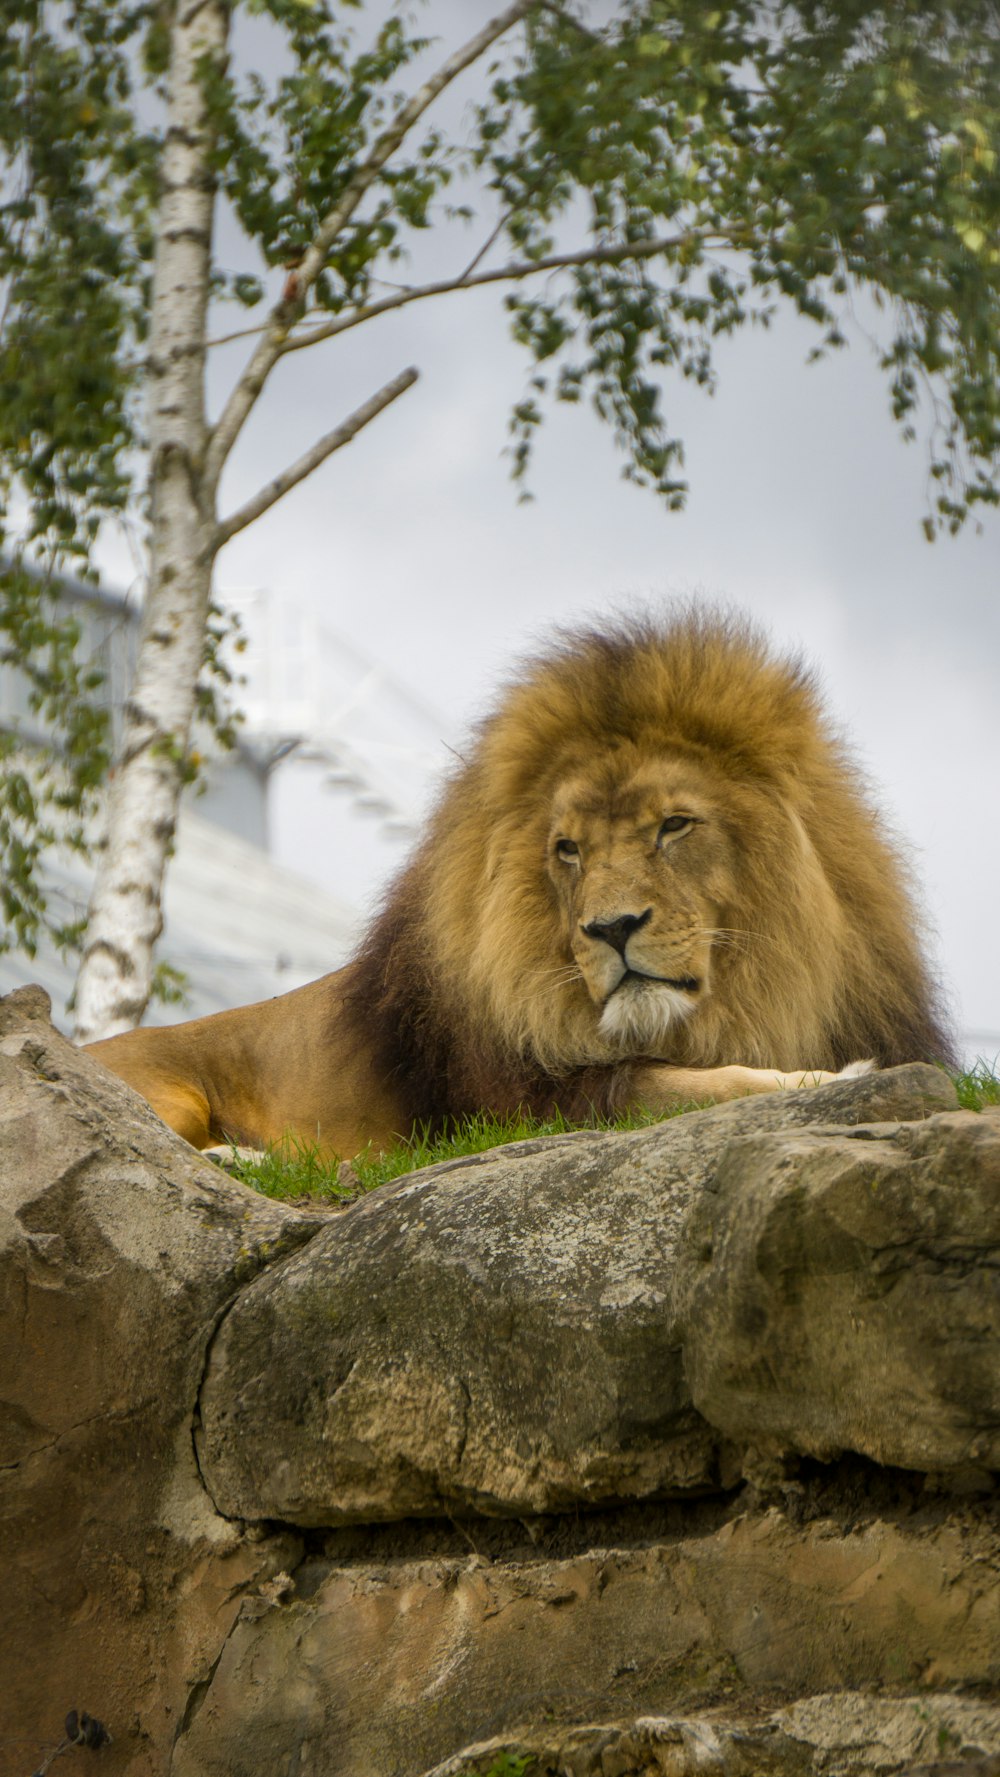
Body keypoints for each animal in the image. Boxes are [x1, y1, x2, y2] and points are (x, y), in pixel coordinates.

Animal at [86, 618, 952, 1158]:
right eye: (567, 849)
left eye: (674, 825)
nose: (611, 929)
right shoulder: (535, 1105)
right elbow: (697, 1083)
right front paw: (833, 1079)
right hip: (169, 1093)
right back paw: (246, 1156)